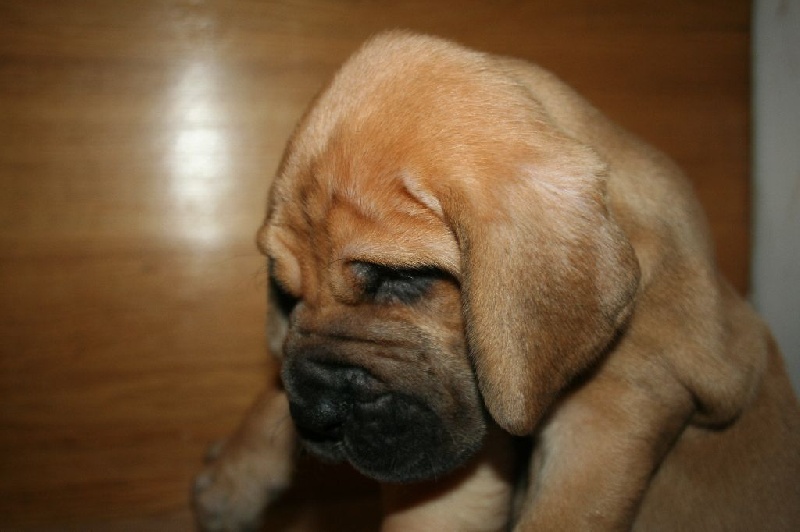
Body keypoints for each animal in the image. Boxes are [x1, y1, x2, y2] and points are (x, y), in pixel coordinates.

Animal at [193, 31, 800, 531]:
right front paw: (233, 477)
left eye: (400, 277)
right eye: (284, 293)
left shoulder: (619, 410)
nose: (316, 417)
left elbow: (566, 513)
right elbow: (279, 377)